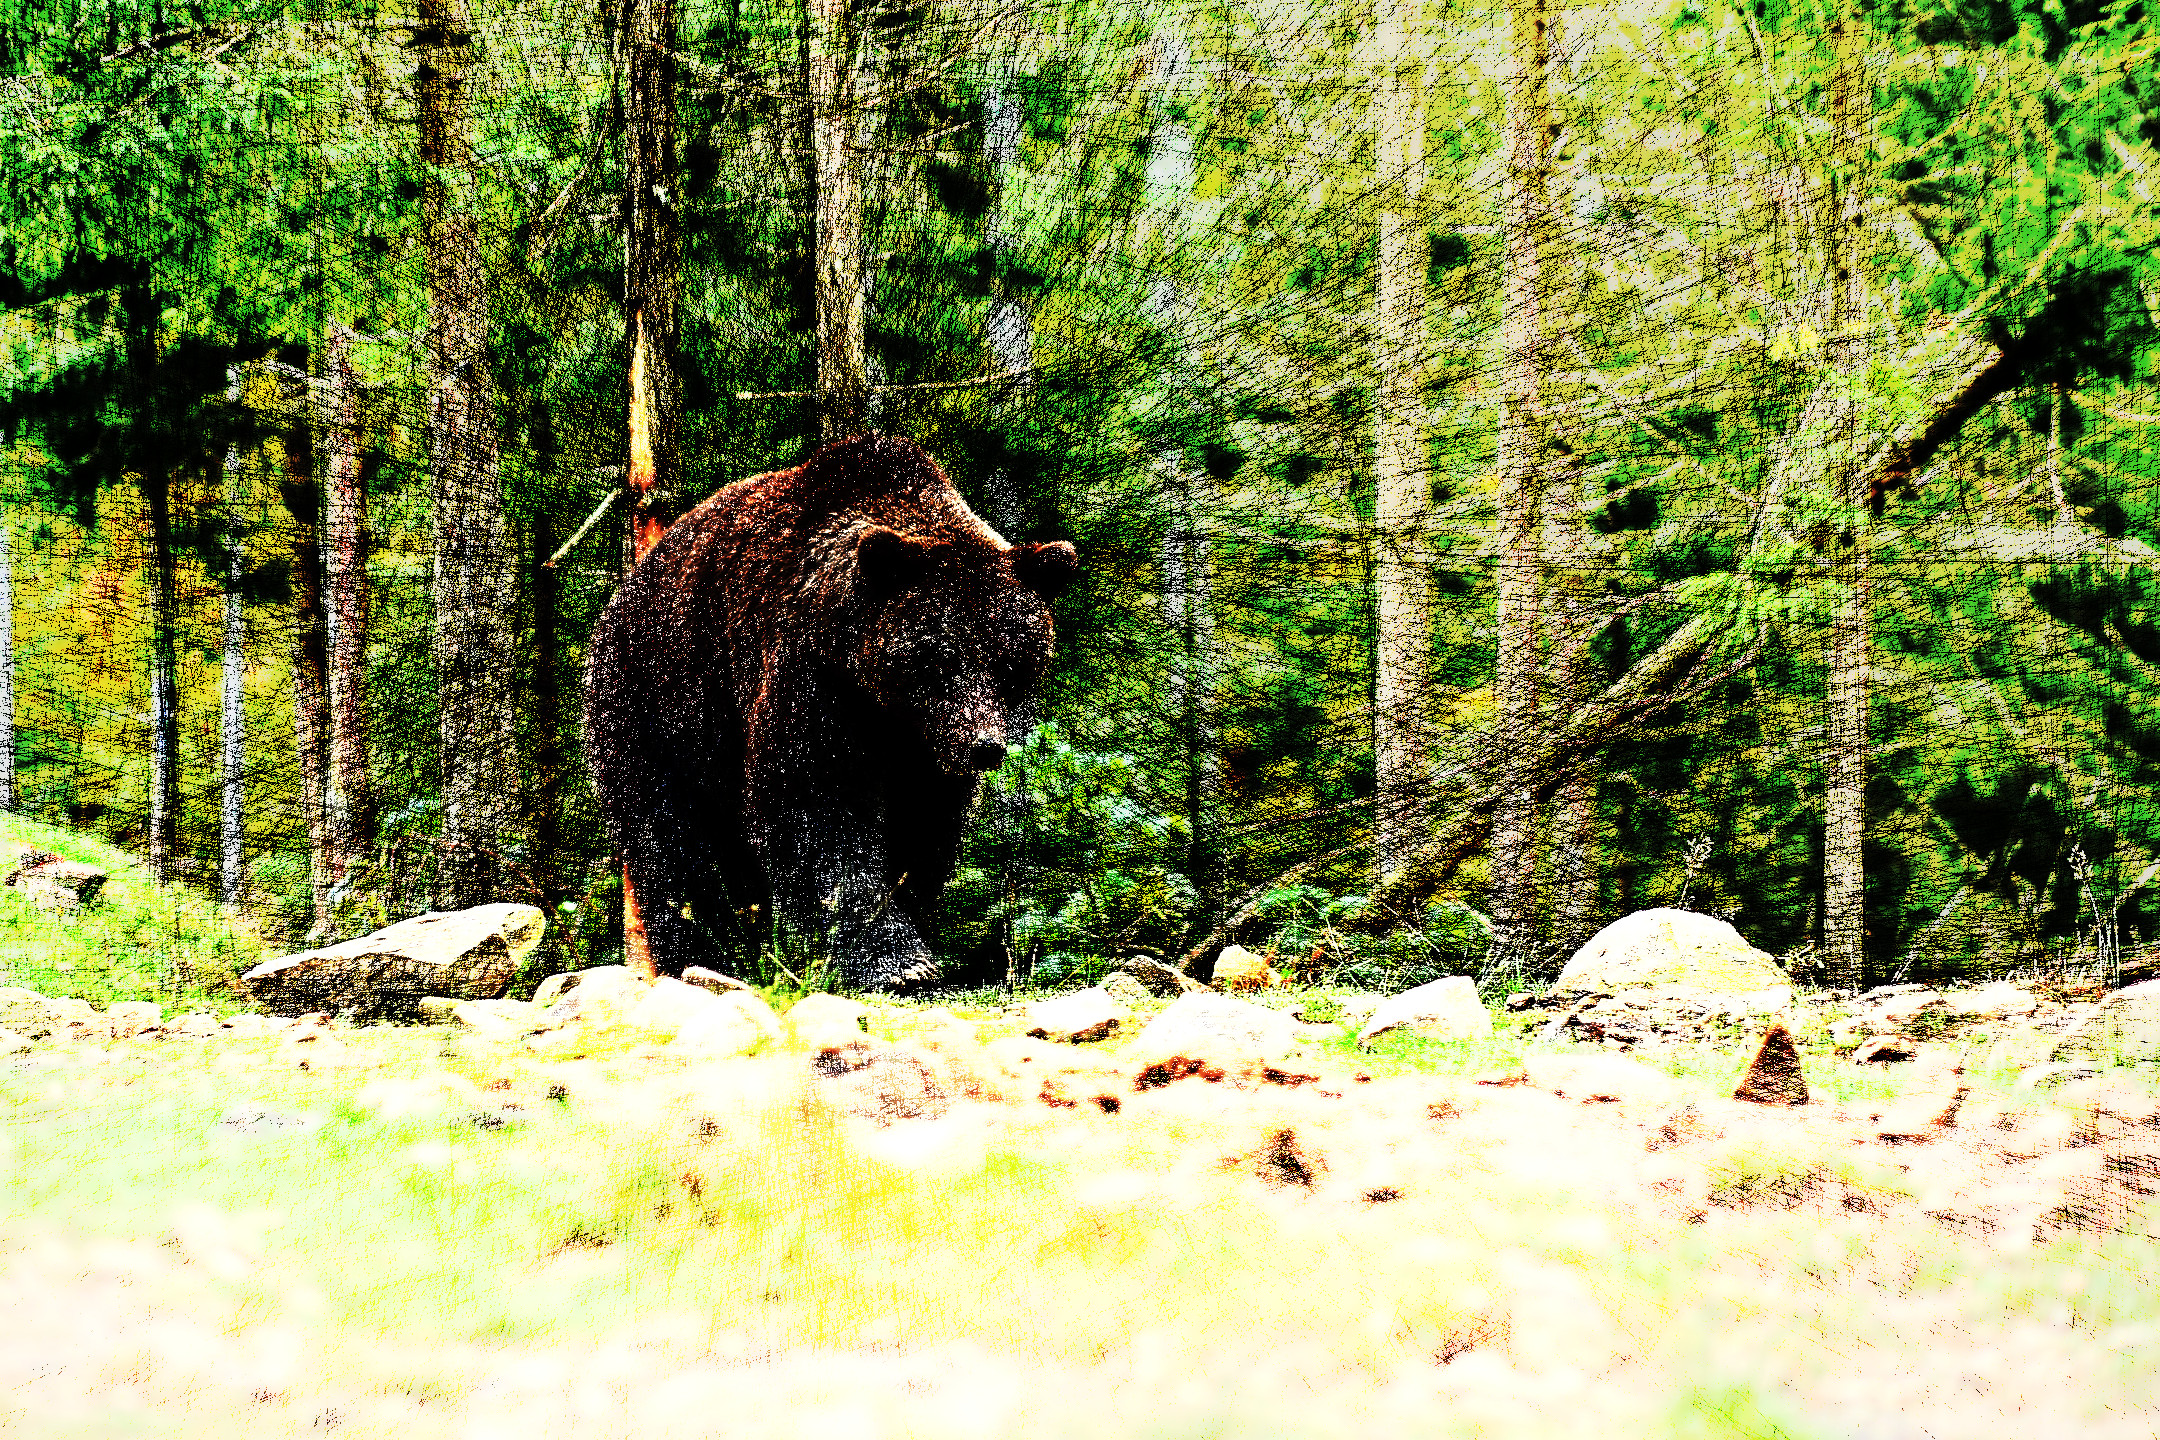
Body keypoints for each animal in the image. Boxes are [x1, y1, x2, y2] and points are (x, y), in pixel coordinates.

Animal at [582, 434, 1077, 990]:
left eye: (1010, 658)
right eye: (940, 655)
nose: (984, 746)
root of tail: (623, 594)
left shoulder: (921, 749)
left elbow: (920, 826)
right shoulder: (813, 677)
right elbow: (818, 808)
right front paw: (896, 960)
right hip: (656, 701)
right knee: (668, 838)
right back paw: (699, 952)